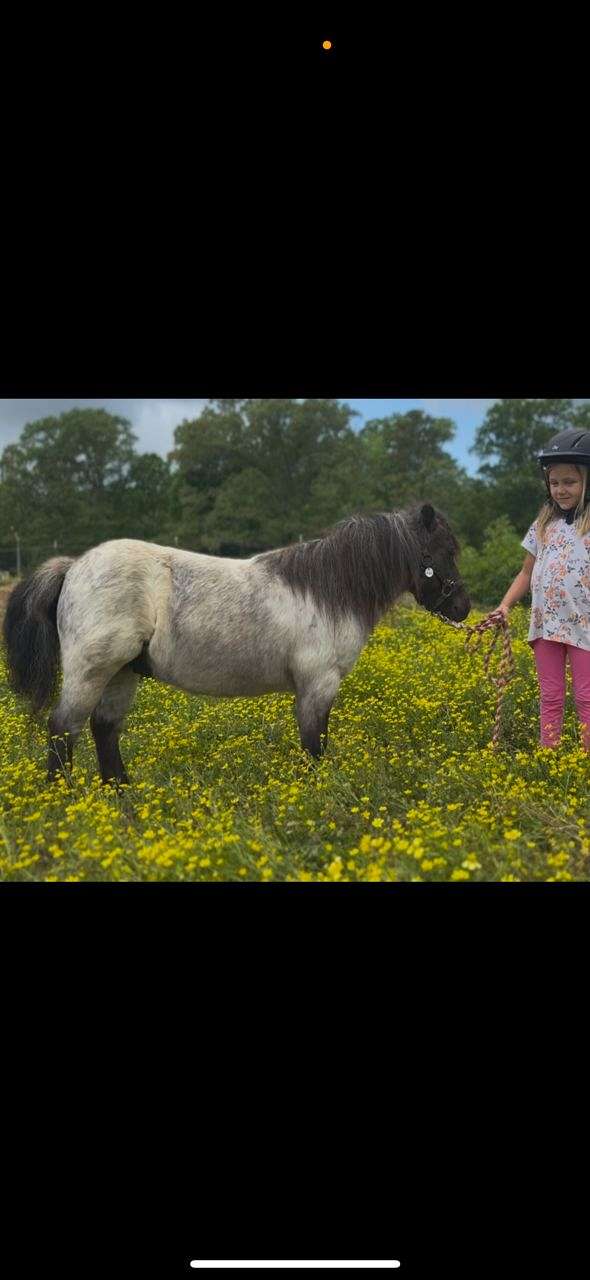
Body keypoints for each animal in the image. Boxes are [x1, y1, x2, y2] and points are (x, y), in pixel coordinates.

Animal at [2, 503, 470, 784]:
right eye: (443, 551)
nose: (464, 607)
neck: (327, 592)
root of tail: (73, 567)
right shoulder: (317, 686)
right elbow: (314, 746)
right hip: (90, 672)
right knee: (63, 730)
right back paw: (65, 800)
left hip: (120, 674)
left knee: (104, 730)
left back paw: (122, 796)